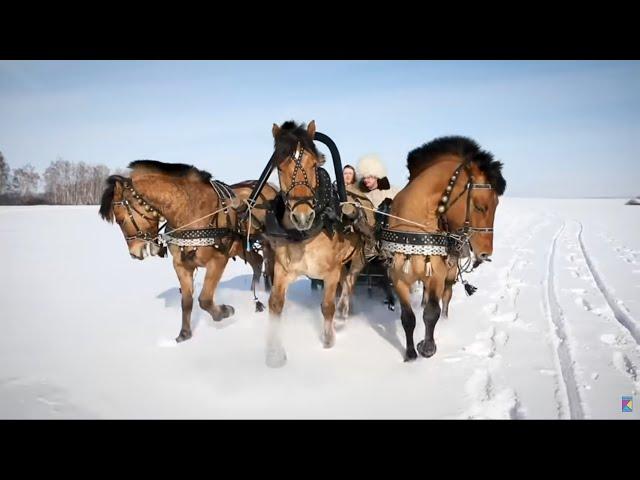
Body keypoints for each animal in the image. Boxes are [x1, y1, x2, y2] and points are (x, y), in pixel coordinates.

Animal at [262, 120, 370, 368]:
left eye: (314, 164)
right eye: (279, 167)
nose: (303, 216)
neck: (306, 235)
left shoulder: (331, 271)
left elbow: (327, 306)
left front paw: (328, 342)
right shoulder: (283, 269)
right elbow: (275, 304)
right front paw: (275, 353)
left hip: (357, 257)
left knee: (350, 282)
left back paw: (344, 312)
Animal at [382, 135, 508, 360]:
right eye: (480, 206)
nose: (485, 253)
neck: (414, 229)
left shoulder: (438, 276)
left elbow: (432, 313)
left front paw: (427, 347)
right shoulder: (398, 278)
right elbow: (408, 318)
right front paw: (410, 353)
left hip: (450, 273)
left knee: (447, 297)